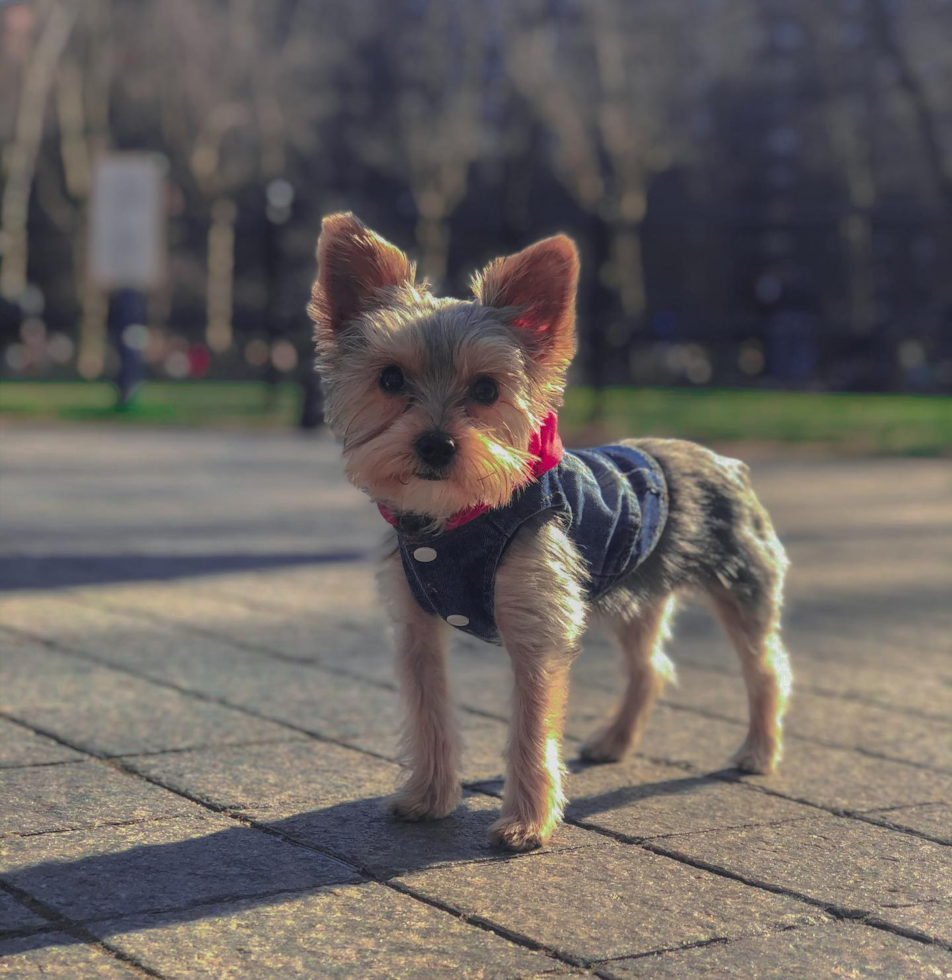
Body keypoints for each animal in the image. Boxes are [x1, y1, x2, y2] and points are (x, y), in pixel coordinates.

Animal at [308, 214, 792, 848]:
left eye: (487, 389)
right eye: (389, 379)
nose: (435, 444)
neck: (457, 521)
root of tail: (724, 461)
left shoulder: (536, 628)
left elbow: (531, 725)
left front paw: (526, 825)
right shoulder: (416, 628)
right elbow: (429, 711)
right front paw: (429, 798)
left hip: (740, 585)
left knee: (765, 668)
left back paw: (758, 752)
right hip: (638, 596)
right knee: (650, 668)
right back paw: (613, 741)